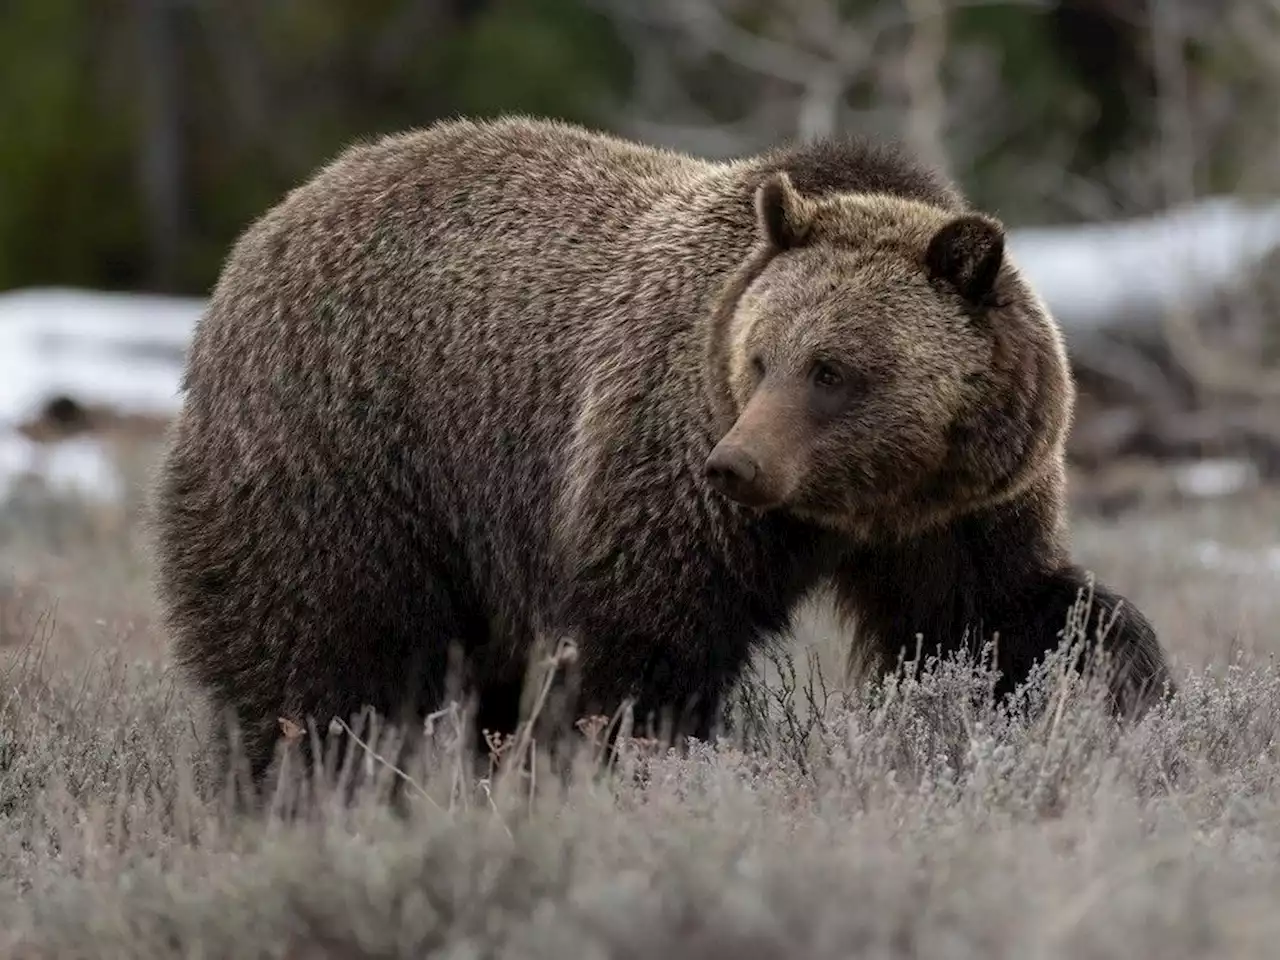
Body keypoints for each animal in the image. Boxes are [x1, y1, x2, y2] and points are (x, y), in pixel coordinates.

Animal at [147, 114, 1172, 788]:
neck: (856, 505)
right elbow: (644, 643)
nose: (737, 464)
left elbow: (1006, 621)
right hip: (354, 452)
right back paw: (312, 778)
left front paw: (1125, 703)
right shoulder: (664, 464)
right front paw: (623, 762)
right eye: (760, 357)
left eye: (833, 369)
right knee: (323, 648)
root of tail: (267, 227)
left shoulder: (958, 514)